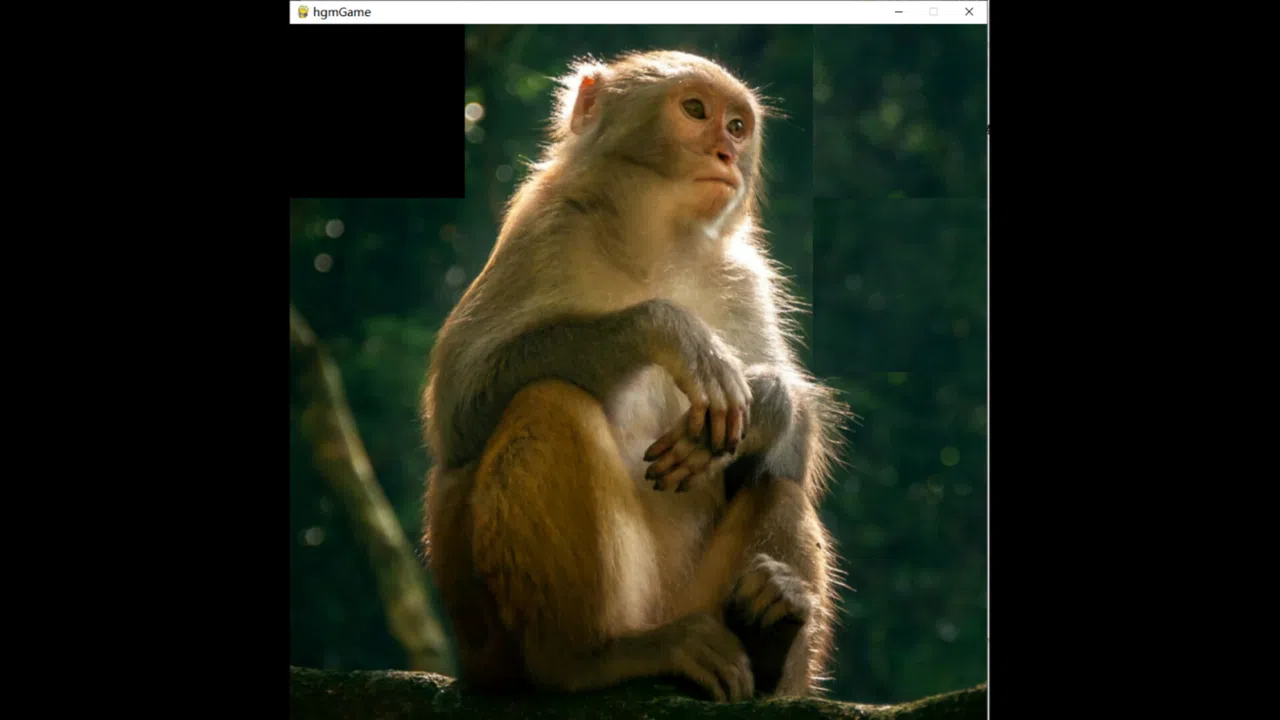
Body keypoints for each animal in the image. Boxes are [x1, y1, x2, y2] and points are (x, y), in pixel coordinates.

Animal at [422, 49, 849, 703]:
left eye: (737, 127)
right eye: (695, 109)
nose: (726, 154)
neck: (656, 242)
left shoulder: (744, 276)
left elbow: (788, 458)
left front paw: (768, 405)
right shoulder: (544, 231)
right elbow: (460, 414)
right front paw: (673, 331)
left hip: (696, 601)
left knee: (777, 488)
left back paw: (770, 639)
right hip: (494, 637)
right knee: (547, 402)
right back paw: (588, 658)